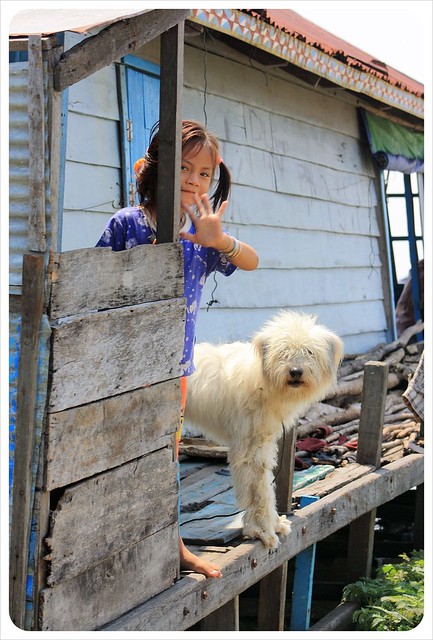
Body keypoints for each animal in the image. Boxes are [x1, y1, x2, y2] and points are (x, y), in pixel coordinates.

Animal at [184, 312, 342, 548]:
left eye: (309, 351)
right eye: (283, 352)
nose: (295, 371)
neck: (264, 381)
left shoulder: (263, 443)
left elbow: (265, 486)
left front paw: (274, 524)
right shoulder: (249, 448)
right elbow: (257, 489)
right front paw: (262, 530)